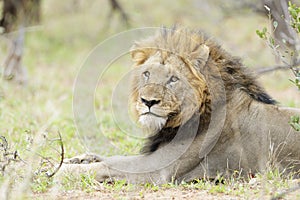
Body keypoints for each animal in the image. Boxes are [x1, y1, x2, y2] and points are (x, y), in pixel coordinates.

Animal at [58, 26, 300, 184]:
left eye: (173, 79)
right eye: (147, 74)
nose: (148, 101)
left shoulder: (159, 170)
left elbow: (107, 165)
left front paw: (61, 170)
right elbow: (113, 158)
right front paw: (78, 158)